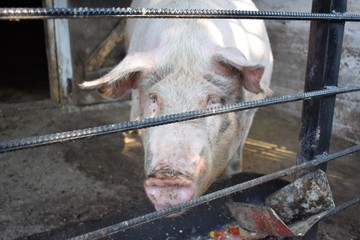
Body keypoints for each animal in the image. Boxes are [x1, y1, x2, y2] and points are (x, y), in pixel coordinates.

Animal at [81, 0, 272, 212]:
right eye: (154, 99)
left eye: (213, 101)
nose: (167, 175)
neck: (186, 39)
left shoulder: (252, 108)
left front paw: (234, 176)